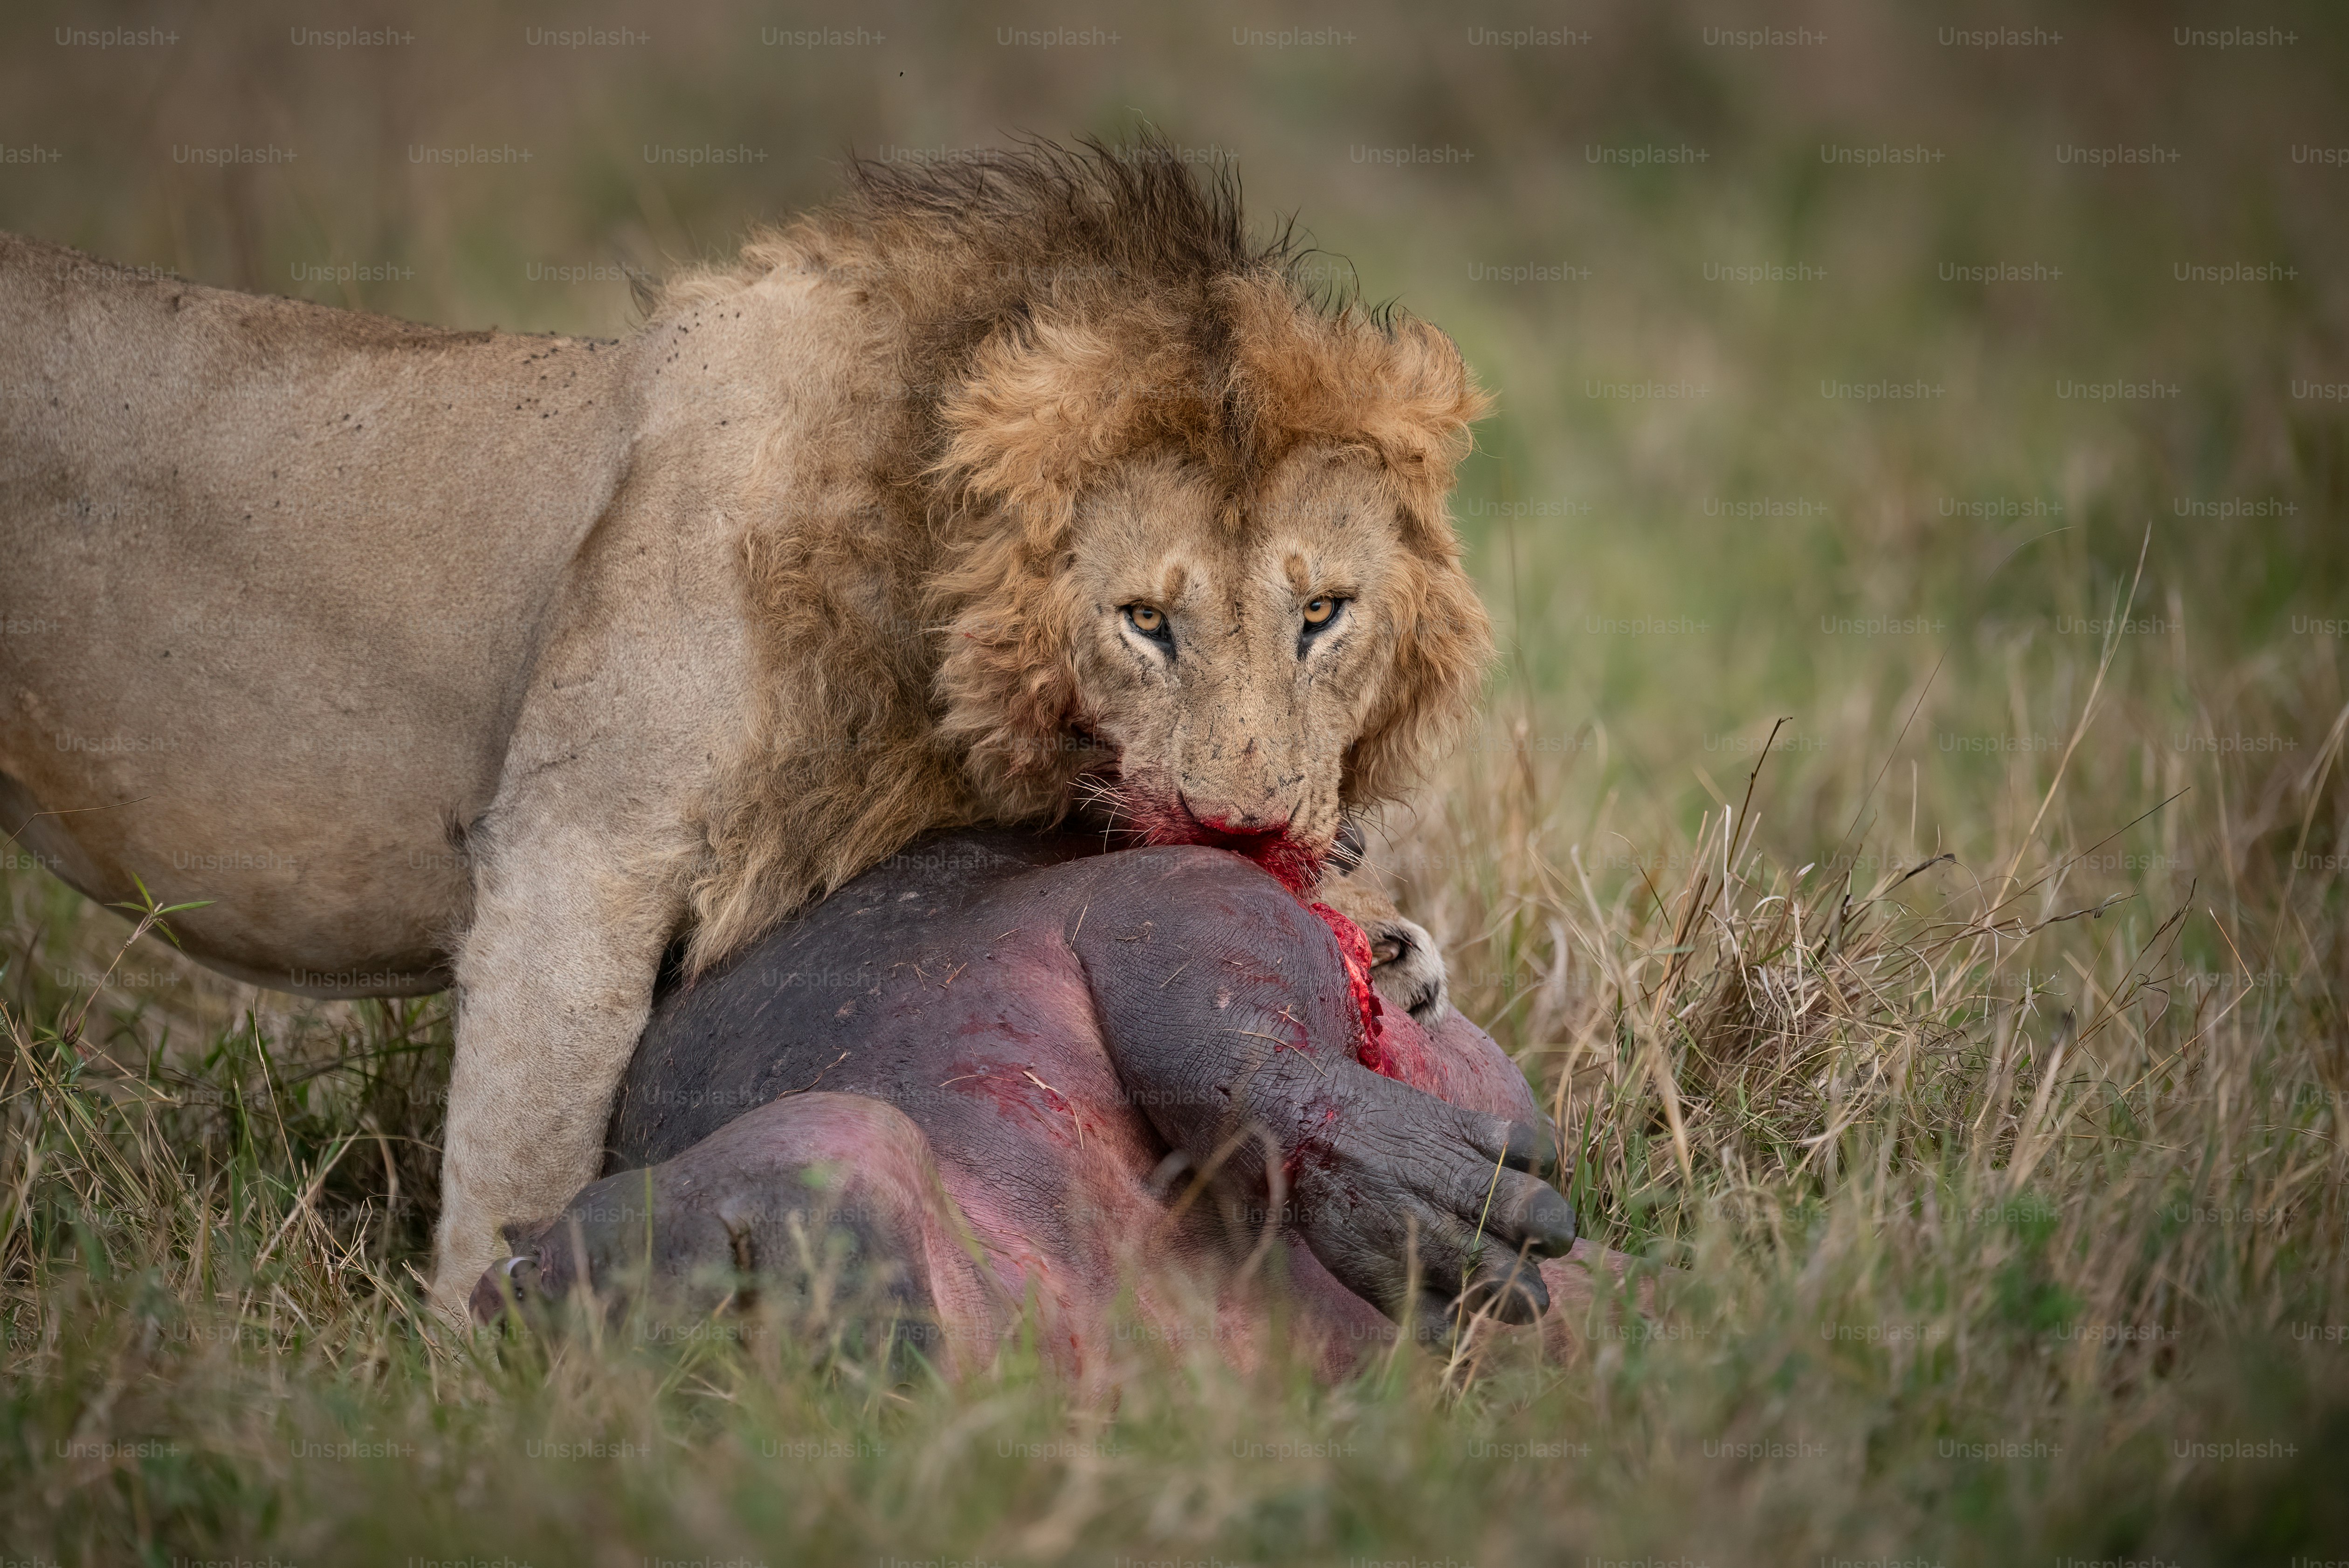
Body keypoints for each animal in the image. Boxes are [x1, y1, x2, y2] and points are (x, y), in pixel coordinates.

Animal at [0, 138, 1493, 1313]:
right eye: (1142, 620)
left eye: (1323, 614)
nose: (1238, 824)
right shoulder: (569, 862)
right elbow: (517, 1160)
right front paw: (484, 1387)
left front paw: (1386, 941)